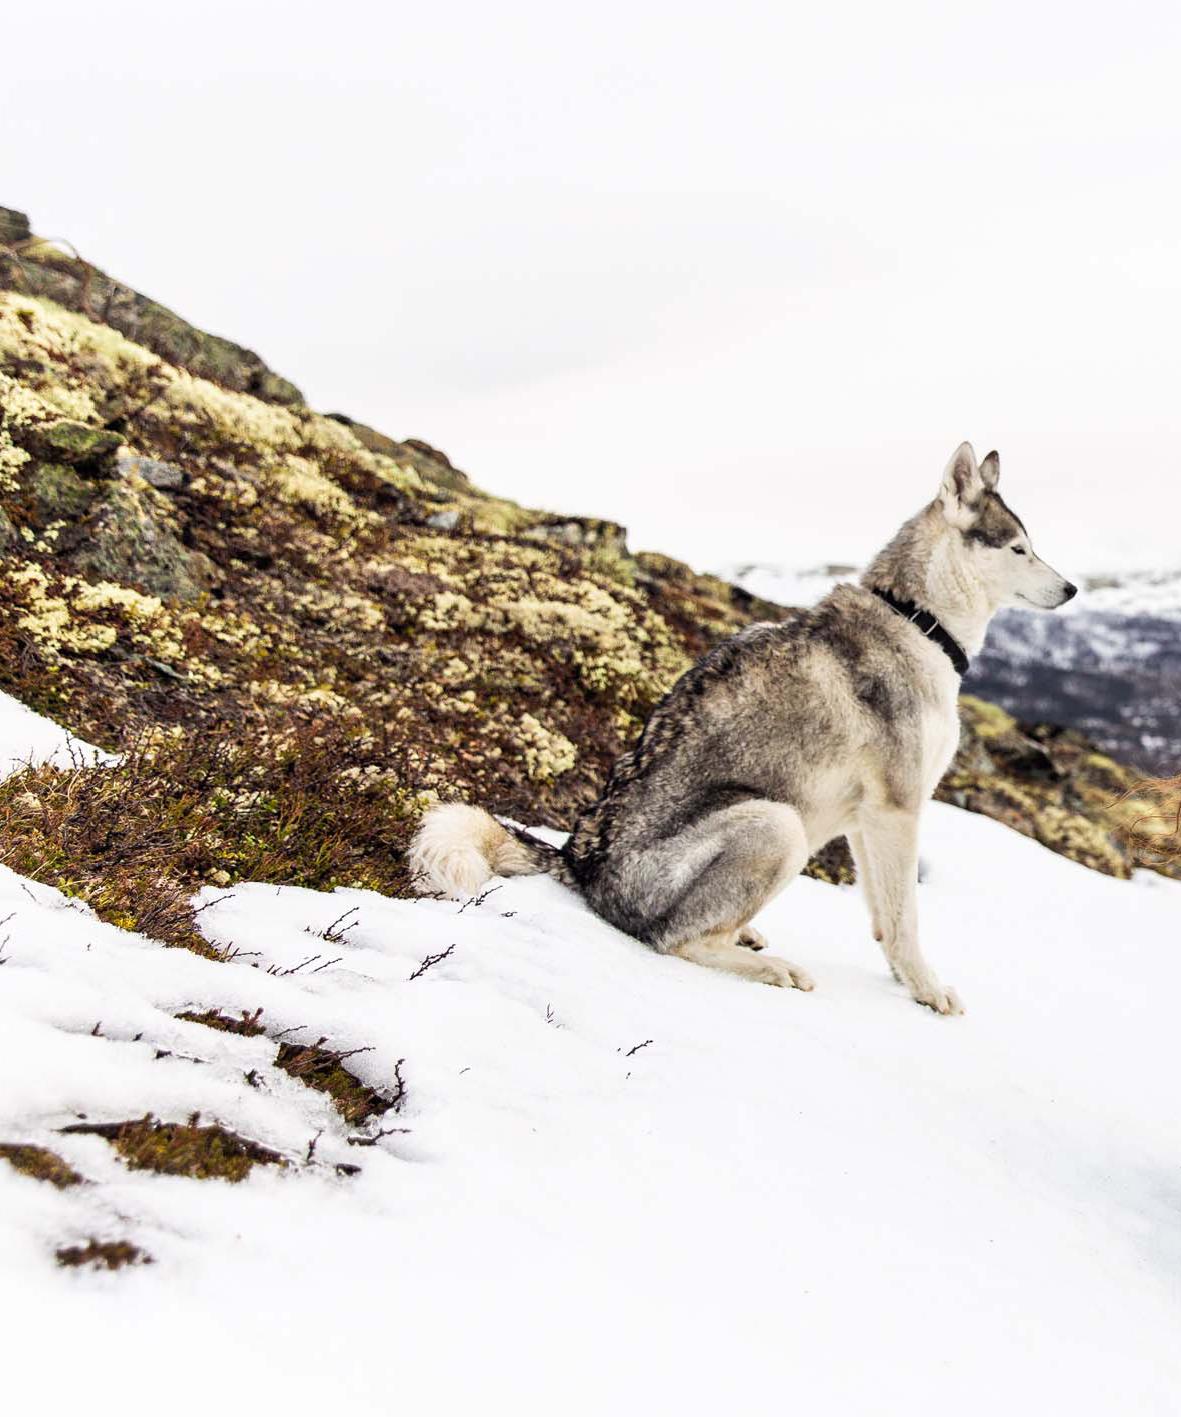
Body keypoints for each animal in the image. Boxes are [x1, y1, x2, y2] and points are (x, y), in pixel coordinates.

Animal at [411, 442, 1071, 1008]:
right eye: (1019, 549)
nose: (1070, 588)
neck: (918, 620)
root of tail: (579, 863)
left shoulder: (870, 819)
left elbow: (885, 918)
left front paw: (903, 980)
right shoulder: (898, 808)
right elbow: (906, 919)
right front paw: (928, 991)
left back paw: (749, 936)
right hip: (778, 825)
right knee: (675, 940)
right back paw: (772, 969)